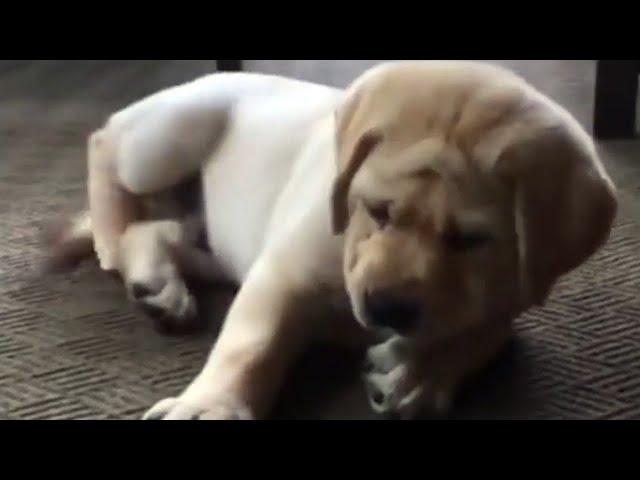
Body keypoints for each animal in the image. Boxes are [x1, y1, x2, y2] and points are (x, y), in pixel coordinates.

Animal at [47, 62, 616, 418]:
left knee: (157, 230)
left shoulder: (512, 292)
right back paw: (110, 237)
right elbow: (252, 343)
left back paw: (156, 283)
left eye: (473, 240)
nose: (387, 307)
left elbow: (484, 331)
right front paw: (211, 405)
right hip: (169, 137)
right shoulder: (283, 274)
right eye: (377, 210)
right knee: (105, 147)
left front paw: (418, 373)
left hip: (212, 240)